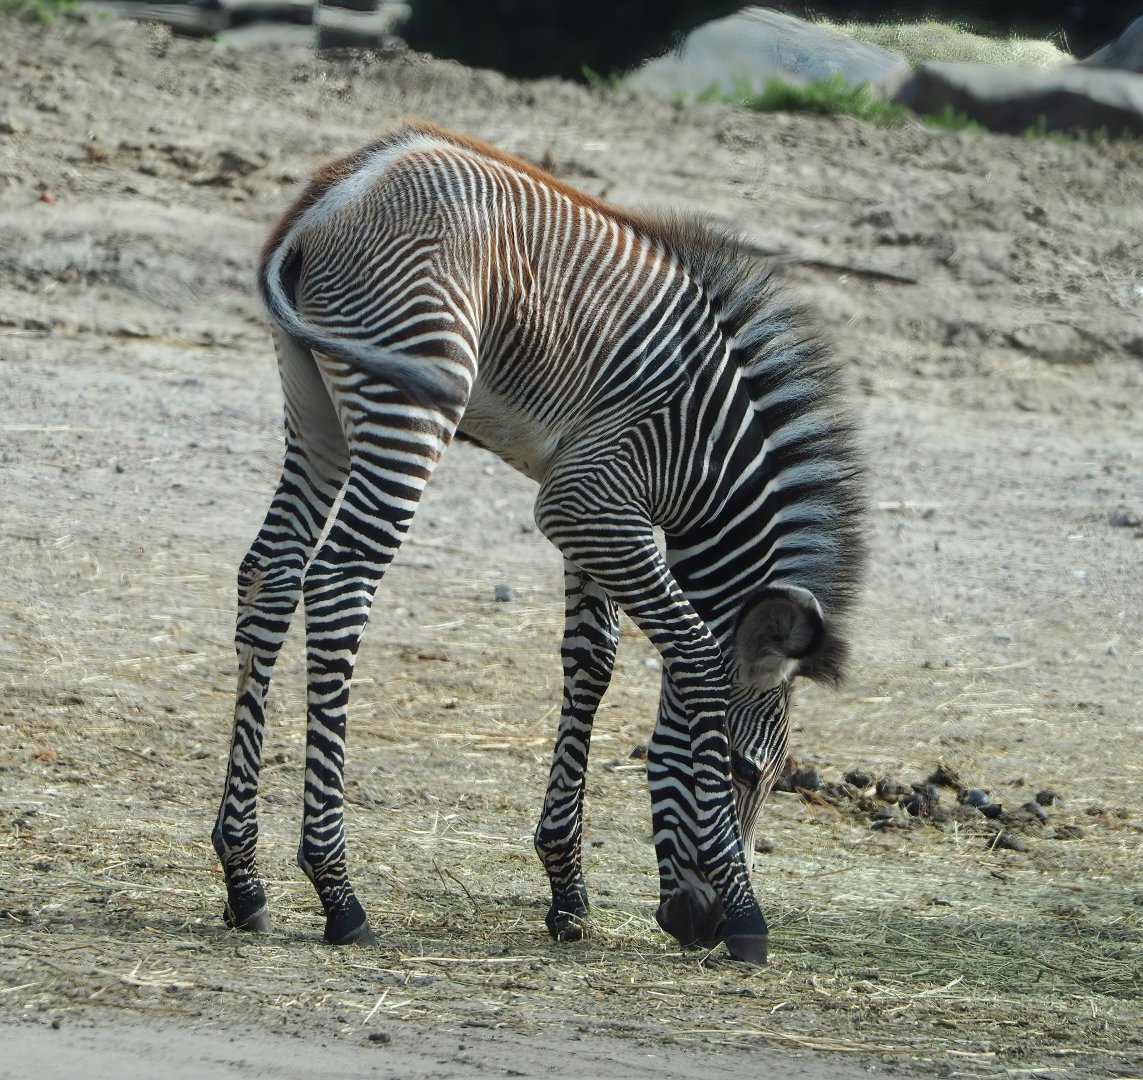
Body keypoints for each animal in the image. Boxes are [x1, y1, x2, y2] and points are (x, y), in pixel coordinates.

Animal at [212, 118, 865, 965]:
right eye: (738, 768)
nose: (700, 929)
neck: (710, 453)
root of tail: (342, 188)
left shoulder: (595, 511)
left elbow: (592, 663)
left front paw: (567, 892)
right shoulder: (588, 500)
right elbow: (690, 652)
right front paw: (747, 916)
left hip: (314, 405)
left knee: (269, 575)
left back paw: (244, 880)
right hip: (410, 397)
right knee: (337, 586)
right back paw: (338, 892)